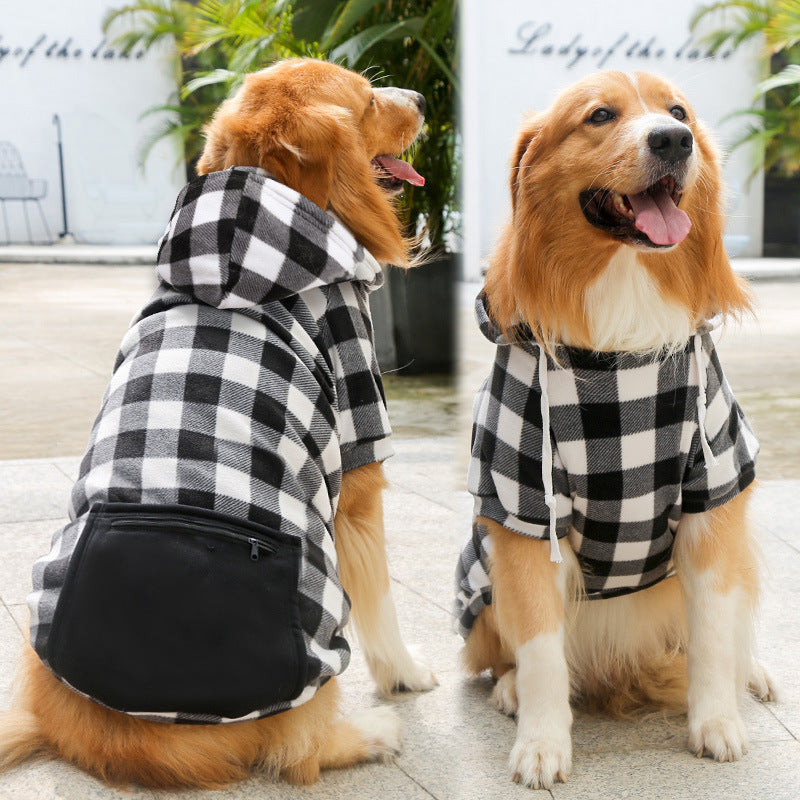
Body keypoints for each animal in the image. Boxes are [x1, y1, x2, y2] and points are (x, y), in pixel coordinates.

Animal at [1, 59, 438, 792]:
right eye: (367, 98)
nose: (424, 97)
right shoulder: (358, 443)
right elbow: (382, 605)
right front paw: (406, 675)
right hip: (318, 606)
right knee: (298, 751)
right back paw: (372, 732)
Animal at [456, 72, 776, 792]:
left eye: (678, 111)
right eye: (600, 116)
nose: (674, 140)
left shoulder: (713, 492)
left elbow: (712, 635)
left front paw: (716, 720)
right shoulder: (522, 508)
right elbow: (542, 651)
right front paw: (542, 742)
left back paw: (755, 673)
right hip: (478, 573)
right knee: (509, 651)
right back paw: (510, 689)